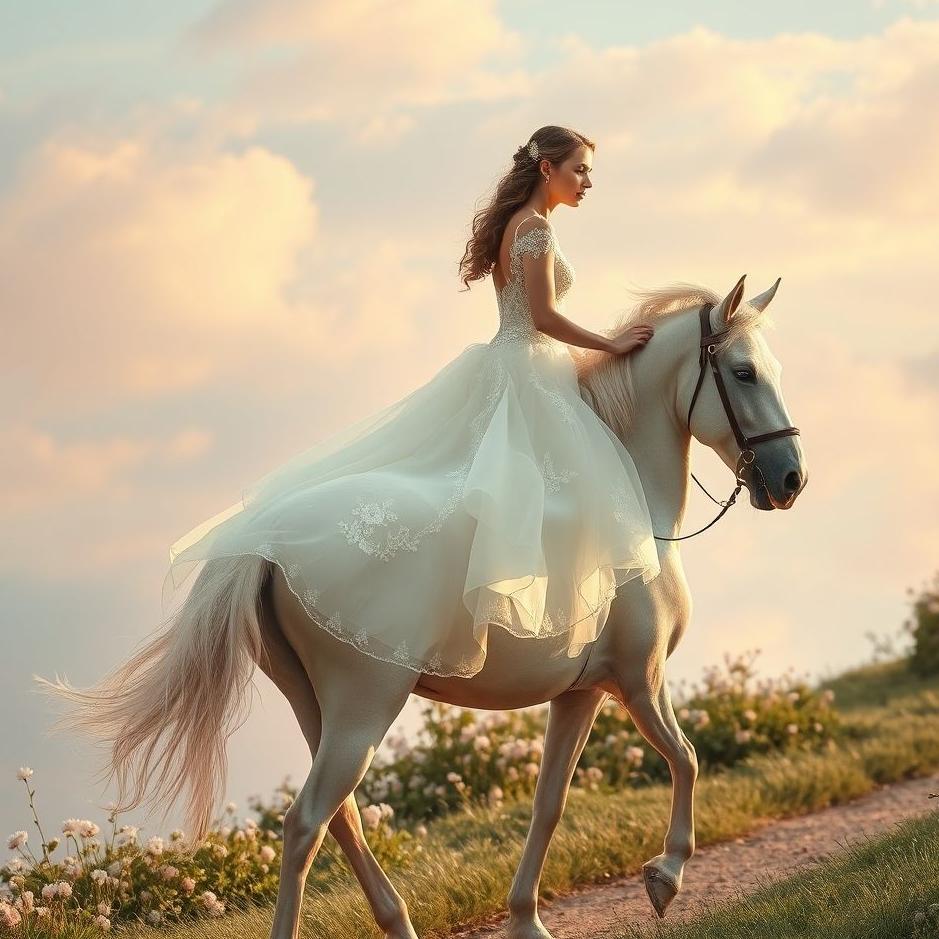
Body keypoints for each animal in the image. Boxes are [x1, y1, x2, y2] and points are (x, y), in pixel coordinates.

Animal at [35, 273, 806, 939]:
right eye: (743, 373)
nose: (790, 478)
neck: (632, 502)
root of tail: (268, 546)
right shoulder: (639, 680)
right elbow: (687, 759)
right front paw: (664, 877)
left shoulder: (581, 692)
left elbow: (549, 801)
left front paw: (526, 918)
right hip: (363, 709)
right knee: (304, 823)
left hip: (320, 711)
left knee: (340, 818)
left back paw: (398, 921)